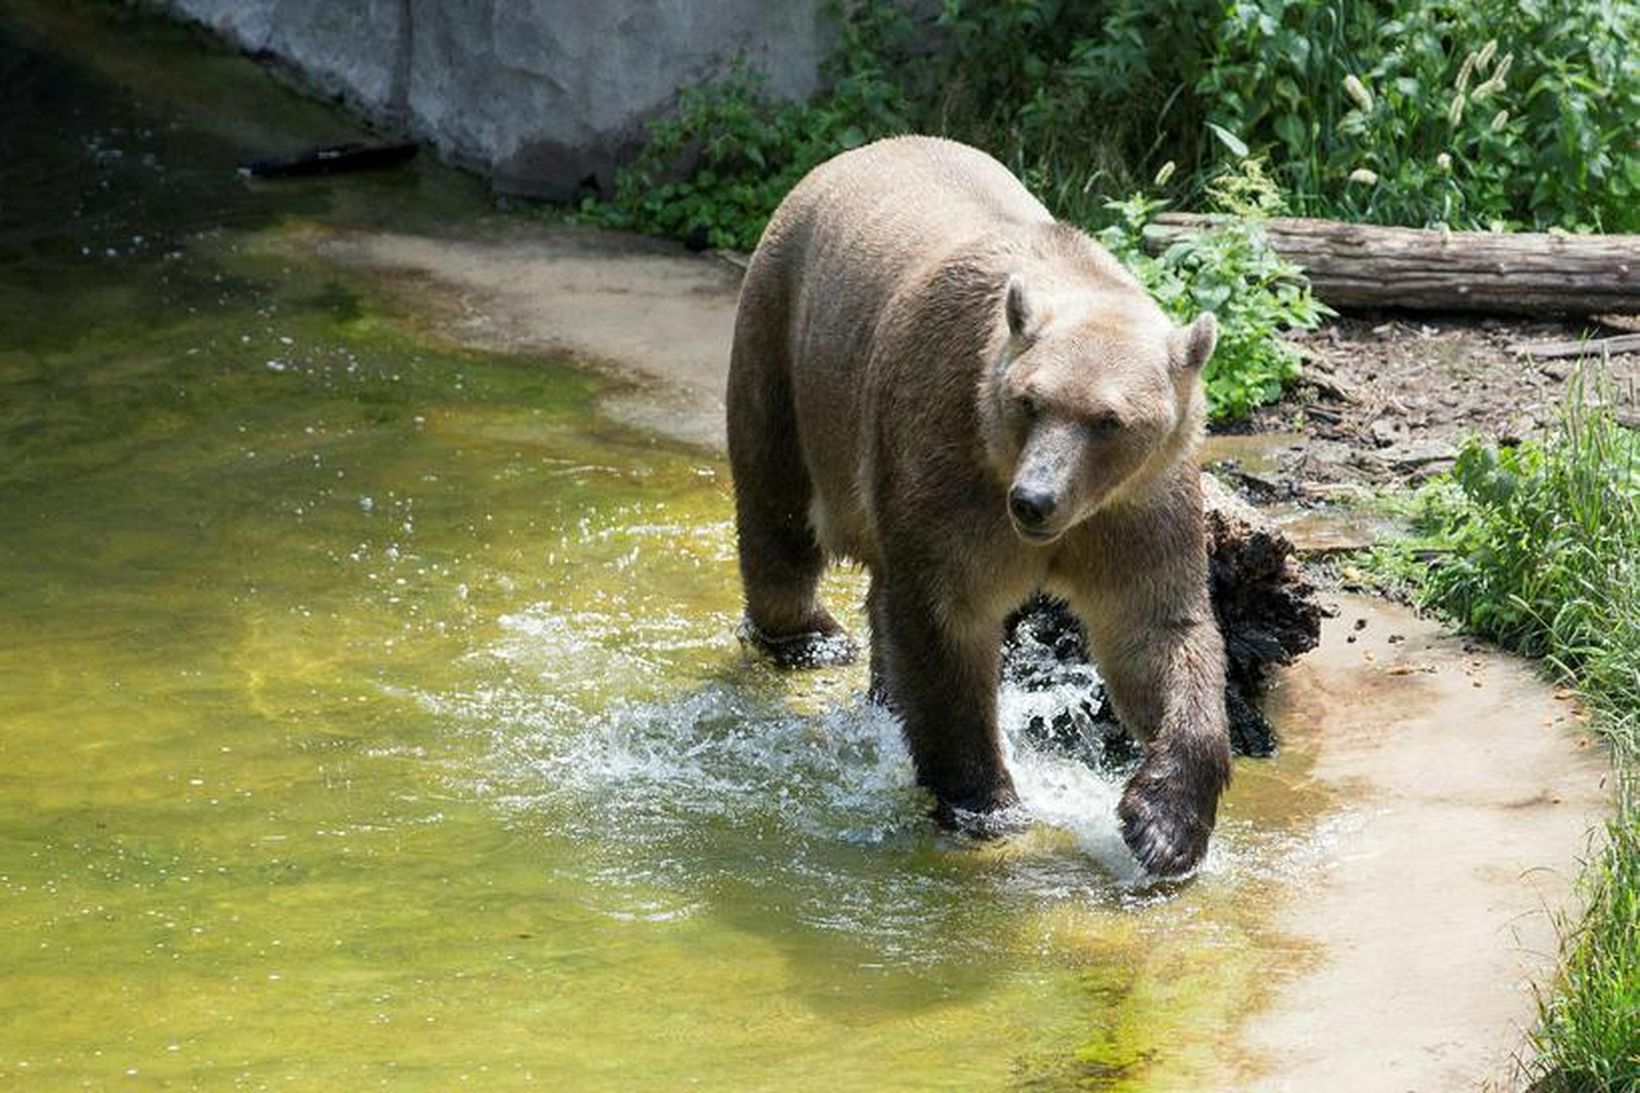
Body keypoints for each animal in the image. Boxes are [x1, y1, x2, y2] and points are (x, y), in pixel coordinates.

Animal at [724, 136, 1226, 879]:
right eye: (1029, 401)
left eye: (1109, 420)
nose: (1035, 501)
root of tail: (849, 156)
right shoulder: (950, 466)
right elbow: (945, 623)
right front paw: (988, 800)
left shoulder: (1137, 505)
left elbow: (1154, 629)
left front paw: (1164, 826)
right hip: (789, 344)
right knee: (778, 512)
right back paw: (810, 634)